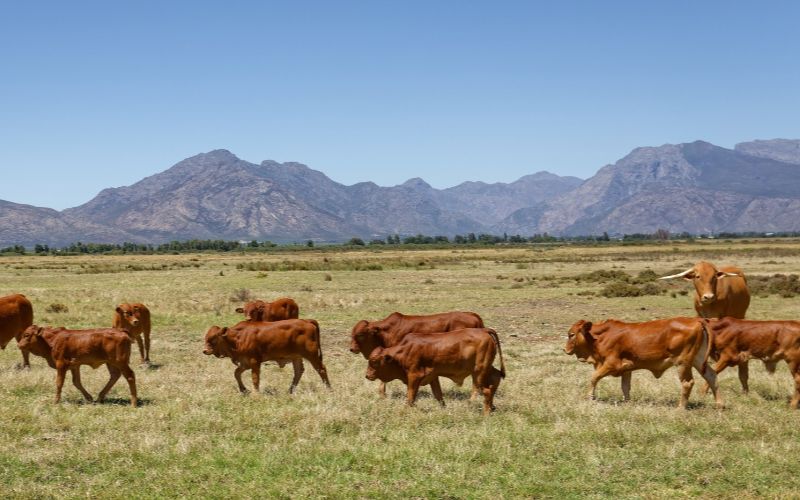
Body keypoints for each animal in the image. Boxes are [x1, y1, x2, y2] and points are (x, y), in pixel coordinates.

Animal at [350, 311, 485, 398]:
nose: (351, 349)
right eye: (352, 334)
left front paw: (382, 394)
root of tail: (473, 315)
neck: (386, 332)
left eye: (360, 334)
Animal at [365, 328, 505, 415]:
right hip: (486, 369)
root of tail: (484, 330)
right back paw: (492, 408)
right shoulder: (433, 377)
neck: (404, 351)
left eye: (374, 361)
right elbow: (438, 395)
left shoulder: (414, 376)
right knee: (496, 379)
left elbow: (410, 396)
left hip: (479, 372)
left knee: (487, 390)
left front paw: (404, 411)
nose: (367, 375)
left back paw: (485, 413)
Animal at [564, 317, 723, 409]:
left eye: (571, 334)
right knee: (712, 376)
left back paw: (680, 408)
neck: (600, 337)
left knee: (687, 383)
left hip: (683, 363)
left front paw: (590, 397)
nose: (564, 349)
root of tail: (697, 320)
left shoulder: (611, 364)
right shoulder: (627, 369)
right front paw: (627, 403)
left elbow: (594, 377)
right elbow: (625, 387)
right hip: (698, 360)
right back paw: (719, 405)